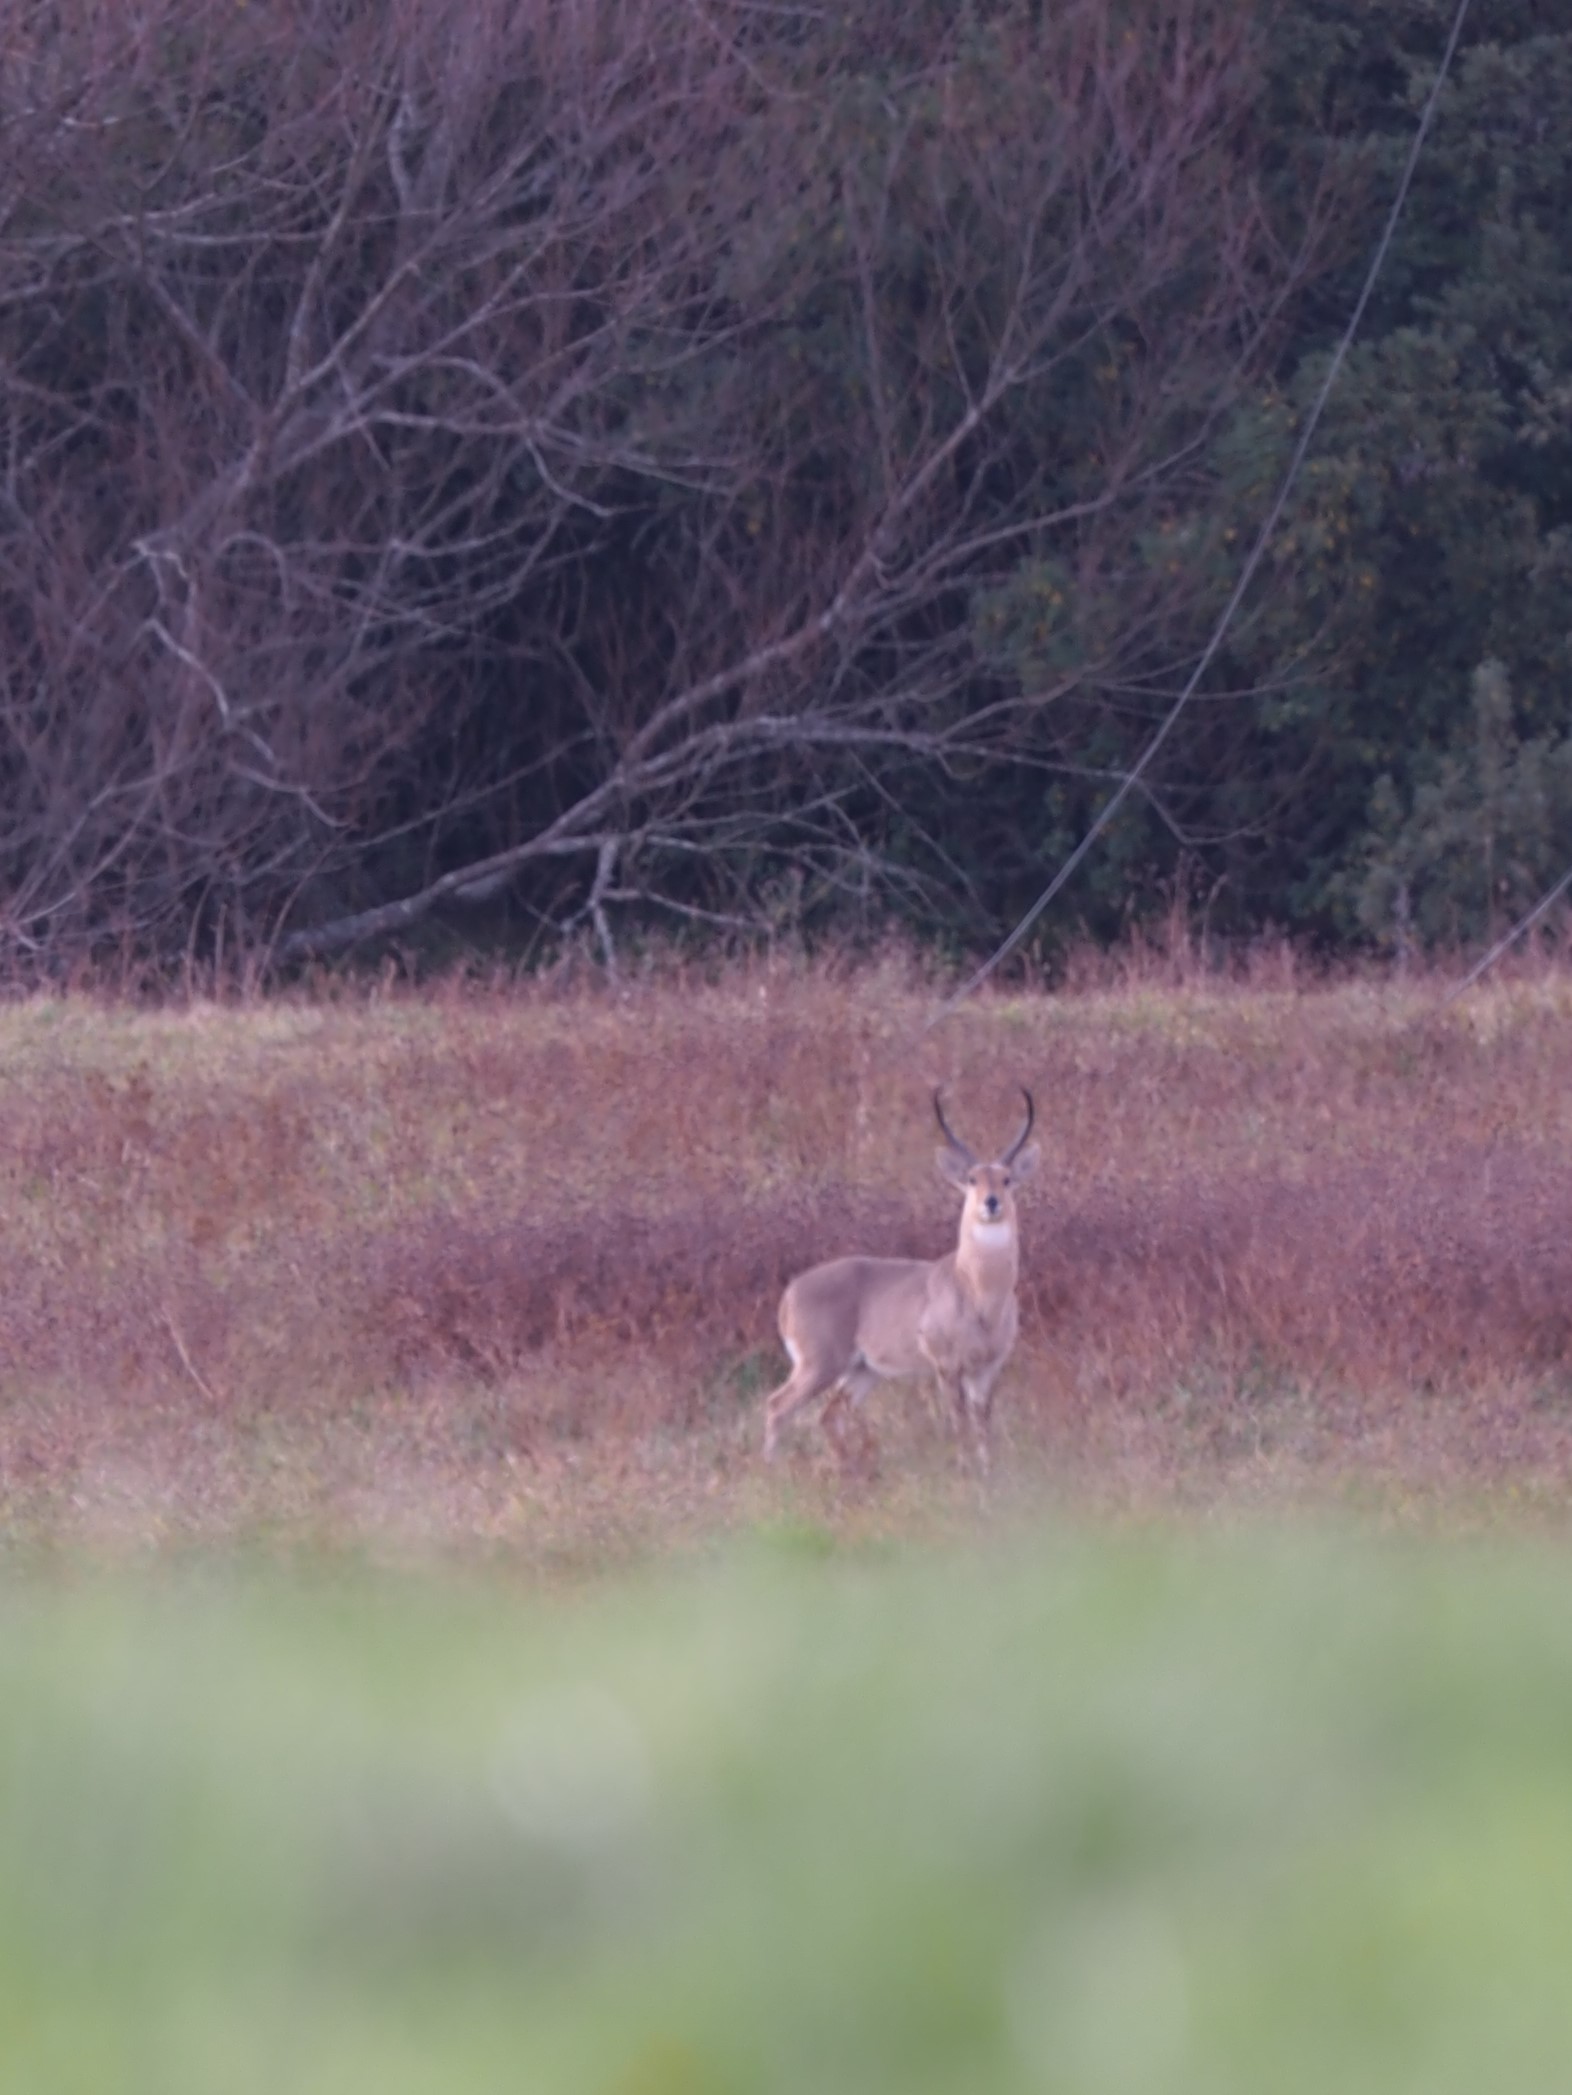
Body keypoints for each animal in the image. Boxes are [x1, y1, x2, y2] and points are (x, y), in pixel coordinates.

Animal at [758, 1097, 1039, 1474]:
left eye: (1006, 1179)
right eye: (972, 1179)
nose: (990, 1202)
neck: (978, 1293)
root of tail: (789, 1295)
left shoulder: (987, 1369)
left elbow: (983, 1427)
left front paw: (988, 1475)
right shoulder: (946, 1366)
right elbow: (961, 1423)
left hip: (863, 1371)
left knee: (829, 1416)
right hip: (819, 1365)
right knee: (777, 1406)